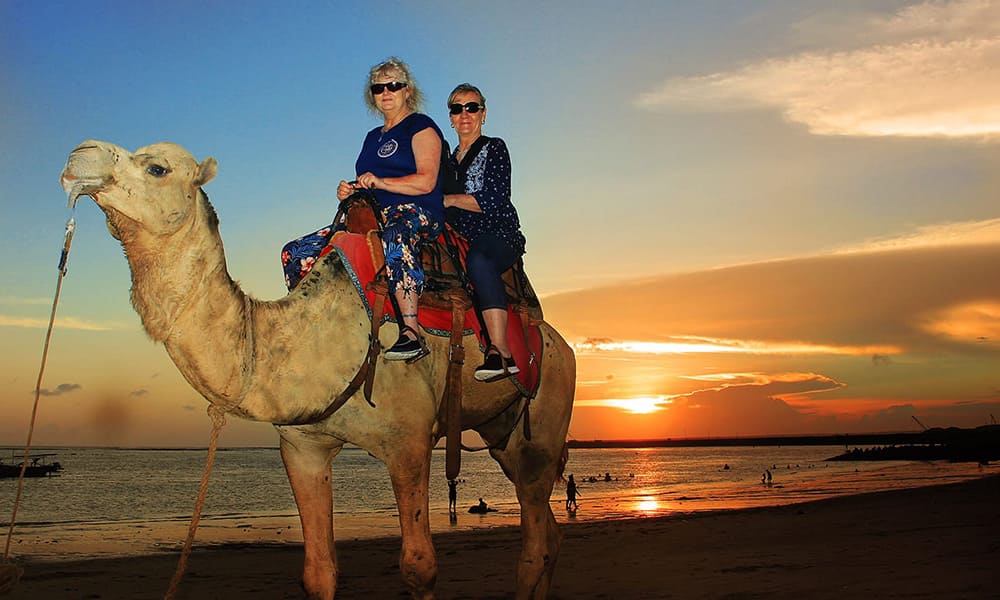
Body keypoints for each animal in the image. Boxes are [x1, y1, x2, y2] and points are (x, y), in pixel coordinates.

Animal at [59, 140, 576, 599]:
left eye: (157, 168)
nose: (78, 155)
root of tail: (561, 343)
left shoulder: (408, 442)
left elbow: (419, 568)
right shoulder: (302, 447)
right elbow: (318, 573)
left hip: (547, 410)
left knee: (534, 541)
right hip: (502, 433)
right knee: (547, 532)